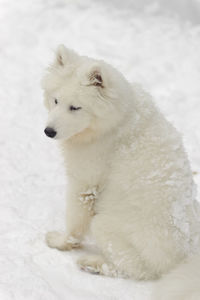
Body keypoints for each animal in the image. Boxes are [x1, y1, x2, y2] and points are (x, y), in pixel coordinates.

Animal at [41, 45, 200, 300]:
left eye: (75, 107)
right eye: (55, 100)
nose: (49, 131)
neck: (118, 119)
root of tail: (184, 259)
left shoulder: (84, 181)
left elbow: (75, 223)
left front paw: (61, 243)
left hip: (104, 224)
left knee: (137, 270)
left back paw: (93, 264)